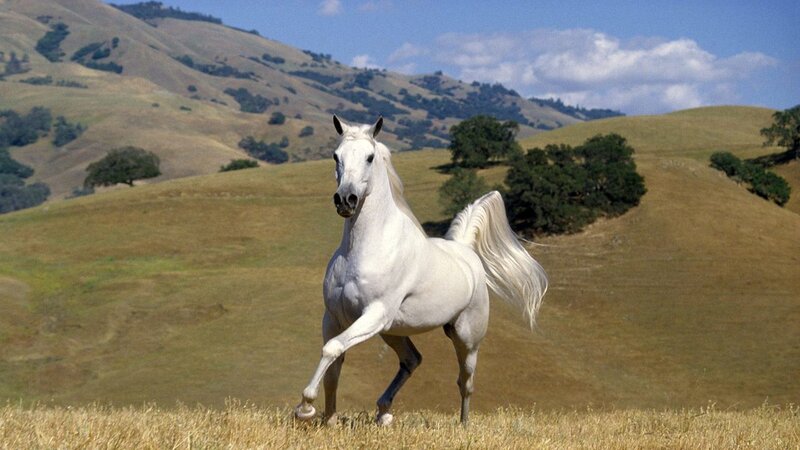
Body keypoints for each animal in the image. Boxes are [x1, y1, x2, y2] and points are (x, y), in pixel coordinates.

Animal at [294, 116, 548, 426]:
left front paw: (305, 408)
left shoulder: (374, 313)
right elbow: (334, 363)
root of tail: (465, 251)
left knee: (465, 382)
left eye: (369, 157)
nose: (345, 199)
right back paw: (383, 412)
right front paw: (327, 420)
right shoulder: (334, 317)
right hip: (392, 331)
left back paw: (463, 425)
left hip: (465, 337)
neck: (362, 248)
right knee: (412, 359)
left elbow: (332, 349)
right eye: (336, 156)